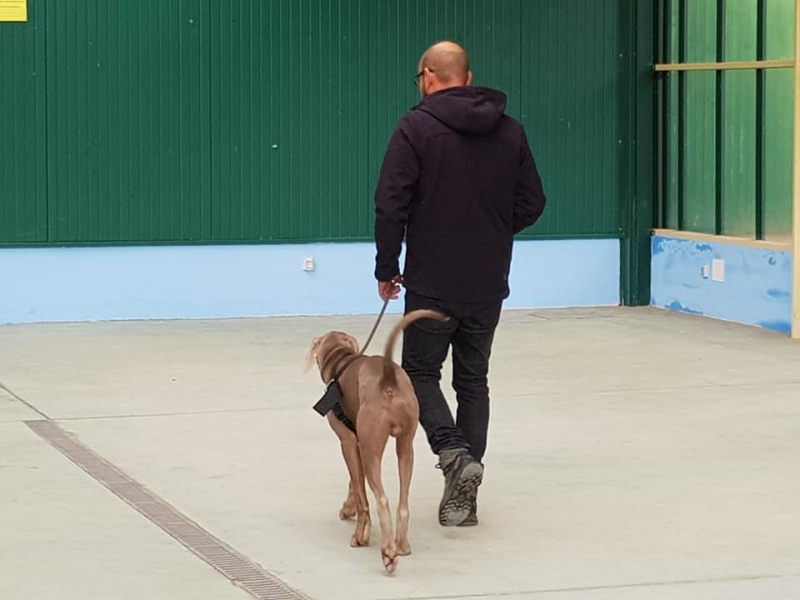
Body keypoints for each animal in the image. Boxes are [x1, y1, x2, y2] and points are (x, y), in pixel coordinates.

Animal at [306, 310, 446, 572]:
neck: (342, 360)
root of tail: (389, 380)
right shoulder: (360, 444)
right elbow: (354, 483)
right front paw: (348, 507)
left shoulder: (348, 442)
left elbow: (361, 495)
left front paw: (361, 533)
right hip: (406, 448)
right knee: (403, 503)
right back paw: (402, 545)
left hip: (374, 453)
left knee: (382, 500)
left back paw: (388, 553)